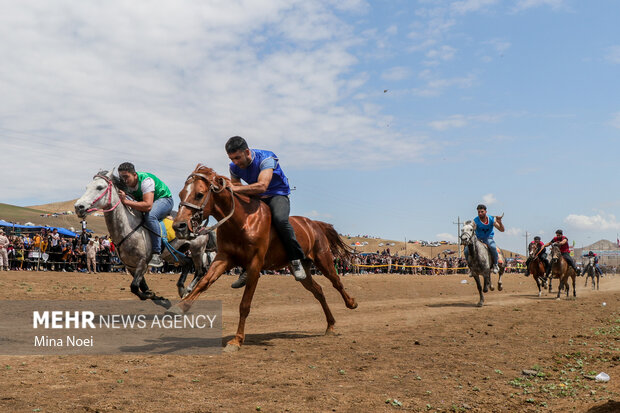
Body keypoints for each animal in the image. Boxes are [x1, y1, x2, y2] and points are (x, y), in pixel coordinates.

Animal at [74, 169, 216, 308]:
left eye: (100, 187)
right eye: (87, 187)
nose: (78, 207)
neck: (128, 228)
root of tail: (201, 225)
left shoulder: (142, 262)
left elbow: (134, 286)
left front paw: (151, 295)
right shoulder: (130, 266)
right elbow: (141, 286)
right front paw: (152, 295)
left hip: (197, 250)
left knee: (200, 271)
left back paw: (188, 290)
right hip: (174, 253)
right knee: (187, 263)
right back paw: (181, 288)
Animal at [170, 164, 358, 350]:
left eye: (199, 194)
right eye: (180, 194)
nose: (179, 226)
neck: (243, 221)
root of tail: (315, 224)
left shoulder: (255, 265)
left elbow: (245, 304)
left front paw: (237, 340)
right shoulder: (224, 258)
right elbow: (204, 282)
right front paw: (180, 307)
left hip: (323, 260)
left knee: (336, 282)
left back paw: (351, 303)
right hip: (304, 272)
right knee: (318, 291)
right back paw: (330, 325)